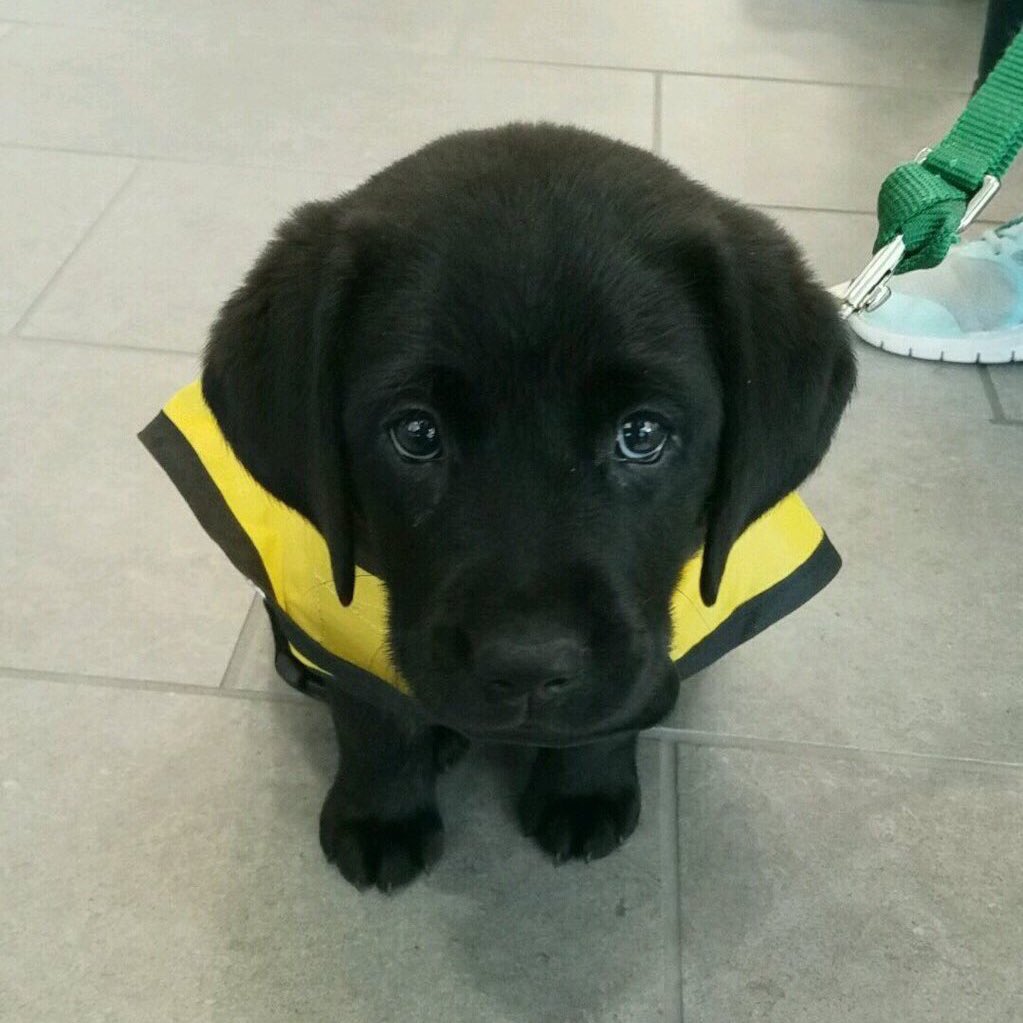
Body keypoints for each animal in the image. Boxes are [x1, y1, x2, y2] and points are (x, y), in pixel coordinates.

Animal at [201, 119, 855, 892]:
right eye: (416, 434)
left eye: (642, 435)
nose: (529, 668)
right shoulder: (344, 613)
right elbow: (372, 714)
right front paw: (382, 814)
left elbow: (612, 716)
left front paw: (582, 790)